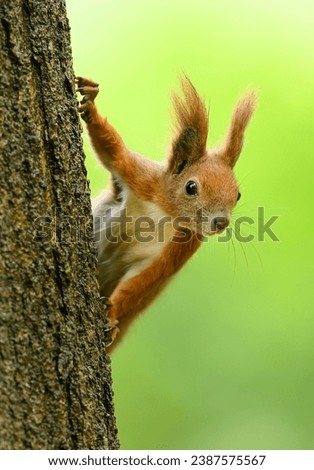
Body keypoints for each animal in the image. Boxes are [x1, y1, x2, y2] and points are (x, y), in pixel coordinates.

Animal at [75, 76, 255, 348]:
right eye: (191, 187)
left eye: (238, 195)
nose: (220, 222)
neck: (166, 213)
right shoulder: (142, 179)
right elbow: (112, 151)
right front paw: (91, 105)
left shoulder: (180, 248)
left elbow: (140, 282)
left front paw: (111, 317)